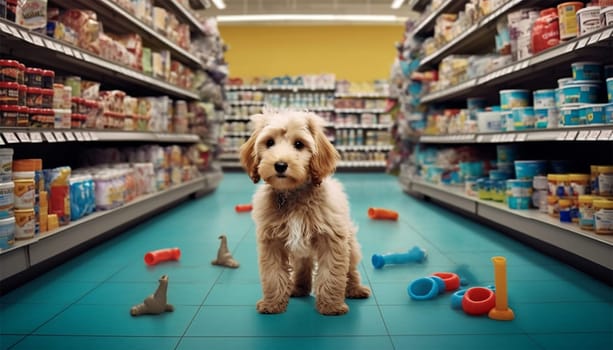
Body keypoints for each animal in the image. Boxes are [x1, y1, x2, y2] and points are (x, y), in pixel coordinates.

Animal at [239, 108, 370, 314]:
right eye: (269, 143)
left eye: (299, 144)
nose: (280, 165)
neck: (293, 194)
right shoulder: (272, 241)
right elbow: (273, 274)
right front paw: (272, 304)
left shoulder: (332, 240)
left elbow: (332, 273)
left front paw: (331, 306)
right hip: (301, 252)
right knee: (303, 266)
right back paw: (298, 288)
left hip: (350, 243)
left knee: (351, 269)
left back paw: (355, 288)